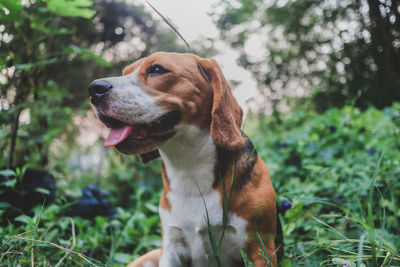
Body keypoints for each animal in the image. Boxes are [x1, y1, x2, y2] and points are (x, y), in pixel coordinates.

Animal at [88, 52, 278, 267]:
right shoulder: (171, 248)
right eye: (125, 73)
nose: (94, 89)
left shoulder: (260, 248)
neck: (188, 167)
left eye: (157, 69)